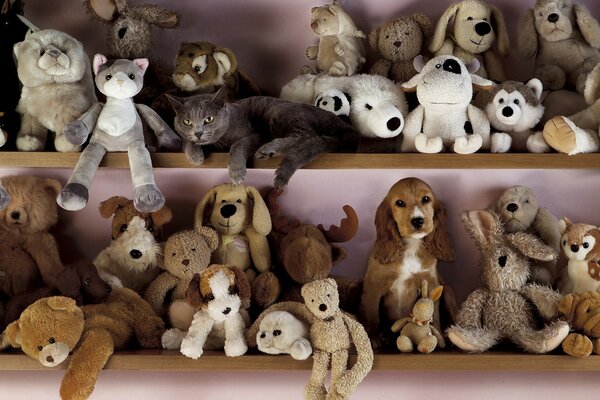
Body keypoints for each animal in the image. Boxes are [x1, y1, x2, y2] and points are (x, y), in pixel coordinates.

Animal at [166, 87, 358, 188]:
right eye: (187, 121)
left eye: (209, 119)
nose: (198, 133)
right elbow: (186, 141)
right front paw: (195, 156)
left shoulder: (255, 134)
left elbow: (238, 145)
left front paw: (236, 172)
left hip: (279, 112)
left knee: (308, 136)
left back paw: (268, 149)